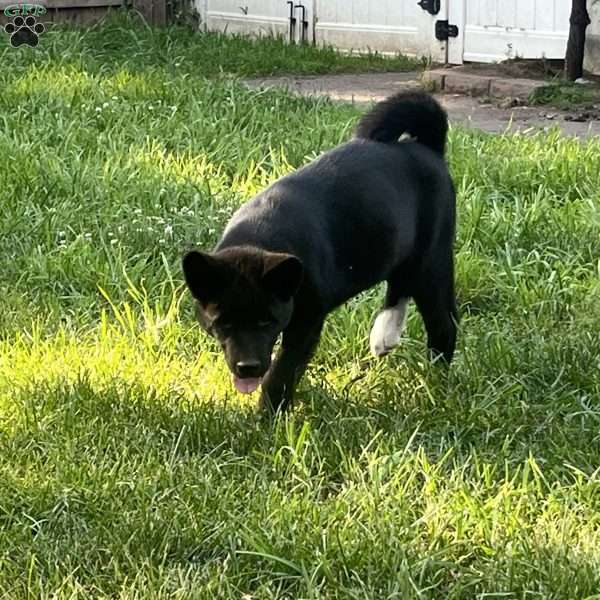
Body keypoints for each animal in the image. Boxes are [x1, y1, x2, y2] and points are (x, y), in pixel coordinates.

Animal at [180, 91, 458, 412]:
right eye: (223, 323)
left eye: (267, 321)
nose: (247, 368)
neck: (259, 238)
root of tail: (429, 148)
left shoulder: (307, 320)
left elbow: (282, 371)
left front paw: (268, 415)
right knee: (403, 285)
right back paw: (385, 335)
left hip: (430, 260)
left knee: (442, 323)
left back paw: (436, 382)